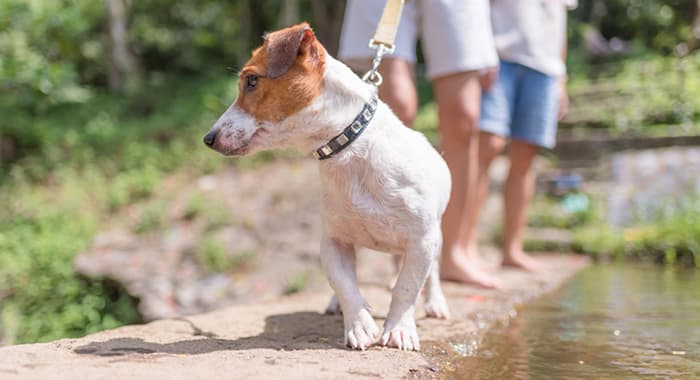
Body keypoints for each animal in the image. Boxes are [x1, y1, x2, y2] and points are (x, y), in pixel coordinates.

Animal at [205, 23, 452, 350]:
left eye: (252, 80)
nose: (208, 138)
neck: (350, 149)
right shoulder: (334, 241)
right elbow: (344, 283)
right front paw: (359, 324)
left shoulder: (422, 240)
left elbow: (407, 286)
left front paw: (399, 329)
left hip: (435, 236)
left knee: (432, 272)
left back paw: (435, 303)